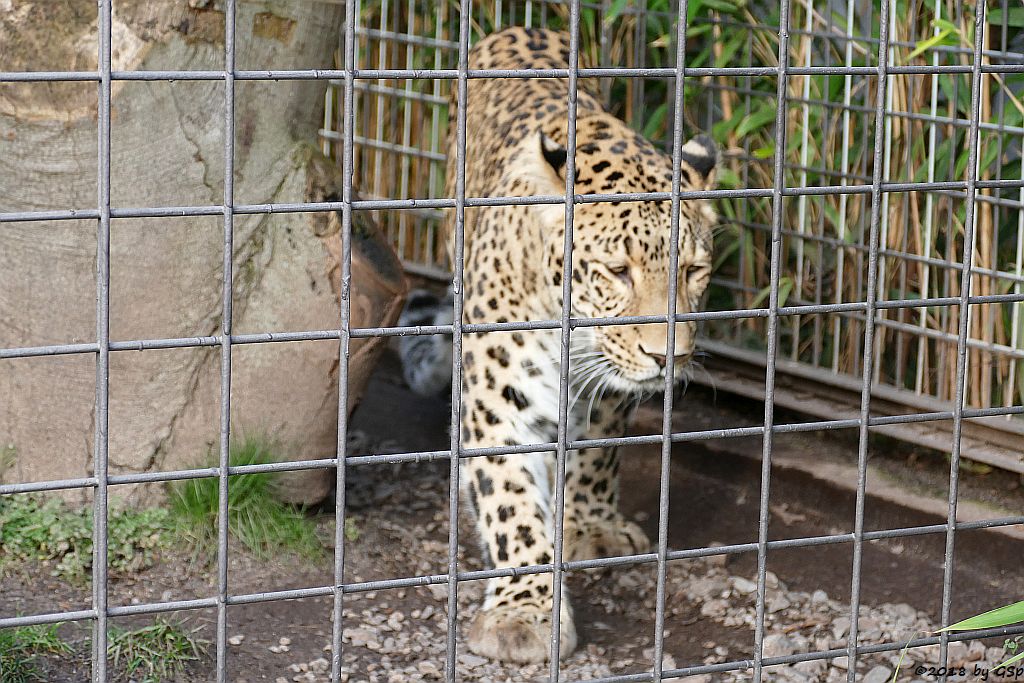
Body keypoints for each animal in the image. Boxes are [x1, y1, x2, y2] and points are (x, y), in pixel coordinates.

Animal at [436, 25, 716, 663]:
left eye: (693, 271)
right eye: (617, 271)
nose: (669, 356)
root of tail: (522, 27)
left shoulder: (609, 383)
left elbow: (596, 449)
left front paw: (589, 525)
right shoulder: (496, 400)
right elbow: (510, 500)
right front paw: (526, 613)